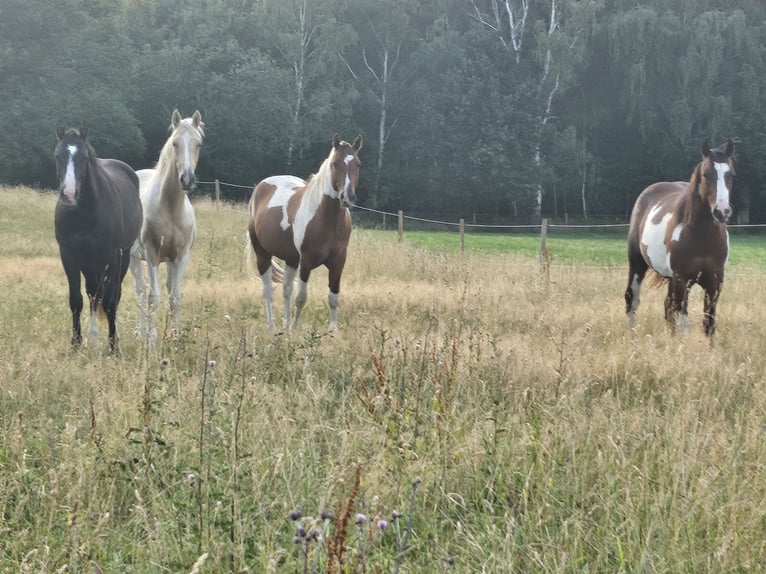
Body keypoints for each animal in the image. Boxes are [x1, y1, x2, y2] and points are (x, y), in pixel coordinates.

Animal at [53, 126, 142, 353]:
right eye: (58, 155)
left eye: (85, 157)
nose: (69, 194)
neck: (84, 213)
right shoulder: (69, 255)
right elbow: (76, 300)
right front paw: (76, 345)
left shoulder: (111, 256)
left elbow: (110, 300)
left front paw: (114, 347)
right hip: (90, 261)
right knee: (93, 292)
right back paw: (92, 337)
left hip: (122, 257)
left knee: (113, 295)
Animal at [129, 109, 204, 346]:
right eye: (174, 143)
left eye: (198, 144)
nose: (187, 179)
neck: (171, 209)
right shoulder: (152, 254)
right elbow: (153, 297)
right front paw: (152, 341)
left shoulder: (180, 256)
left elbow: (175, 297)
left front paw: (175, 337)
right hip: (132, 258)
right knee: (141, 290)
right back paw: (142, 332)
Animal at [247, 133, 363, 332]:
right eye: (335, 164)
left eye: (358, 164)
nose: (347, 197)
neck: (325, 219)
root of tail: (260, 187)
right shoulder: (306, 262)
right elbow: (301, 298)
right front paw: (294, 330)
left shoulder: (338, 262)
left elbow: (333, 297)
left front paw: (332, 332)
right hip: (263, 253)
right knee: (268, 290)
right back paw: (273, 327)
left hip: (291, 259)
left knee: (286, 289)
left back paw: (284, 325)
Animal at [625, 139, 735, 336]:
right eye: (706, 174)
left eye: (731, 174)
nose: (722, 211)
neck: (702, 238)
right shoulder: (682, 279)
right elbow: (684, 322)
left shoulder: (715, 282)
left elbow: (709, 323)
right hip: (638, 263)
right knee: (632, 299)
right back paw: (632, 335)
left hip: (673, 279)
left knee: (668, 308)